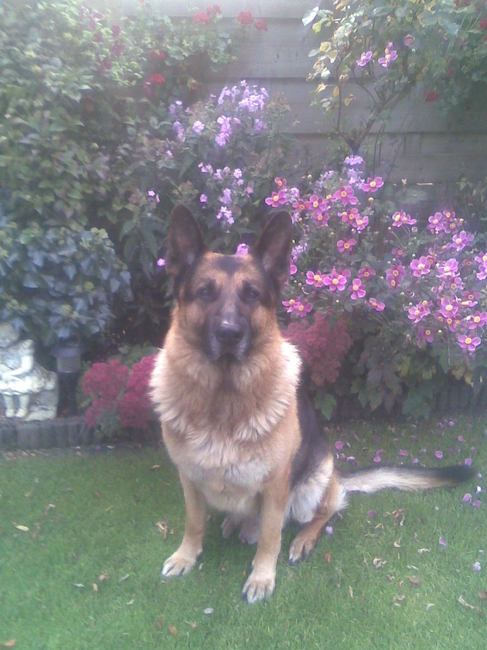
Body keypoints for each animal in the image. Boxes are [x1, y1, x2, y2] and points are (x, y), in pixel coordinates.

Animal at [150, 205, 474, 604]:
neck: (224, 398)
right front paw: (186, 556)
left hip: (309, 488)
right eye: (204, 292)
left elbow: (270, 536)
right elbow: (194, 523)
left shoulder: (276, 486)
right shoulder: (189, 479)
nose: (229, 334)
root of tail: (336, 476)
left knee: (326, 512)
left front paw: (261, 577)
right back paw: (235, 522)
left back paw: (301, 539)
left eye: (251, 294)